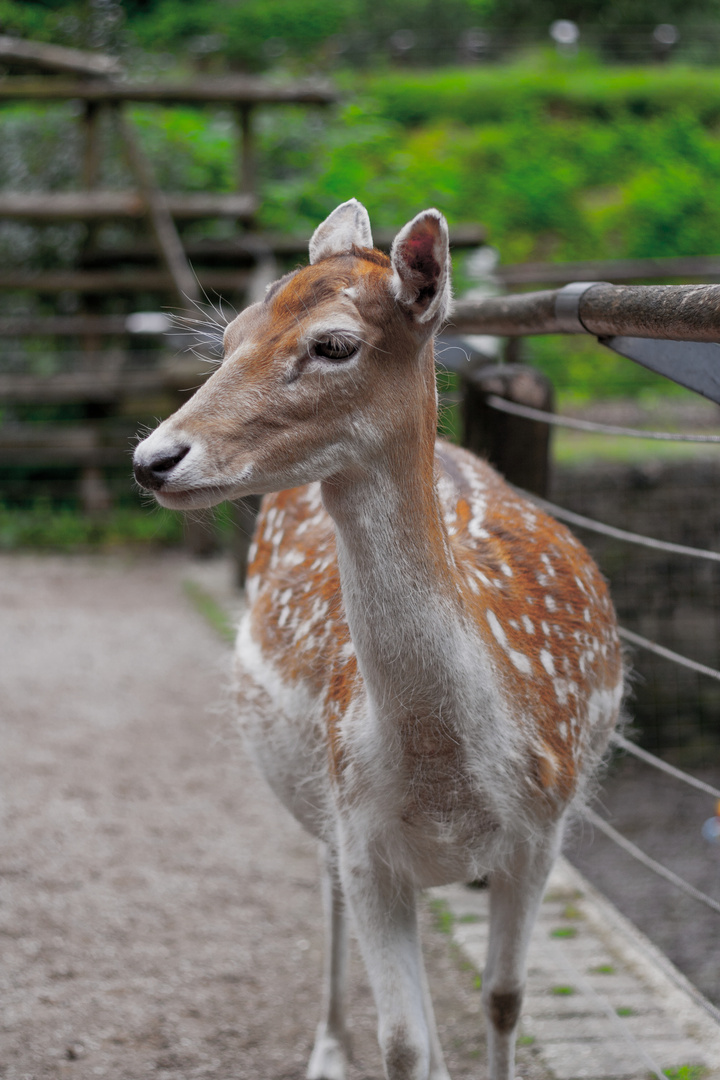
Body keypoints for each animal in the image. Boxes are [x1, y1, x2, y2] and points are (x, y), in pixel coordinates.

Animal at [133, 198, 626, 1075]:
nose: (154, 459)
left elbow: (504, 999)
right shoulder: (362, 830)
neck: (444, 774)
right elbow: (402, 1043)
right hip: (320, 801)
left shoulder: (541, 831)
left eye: (333, 344)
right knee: (326, 883)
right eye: (232, 337)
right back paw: (330, 1046)